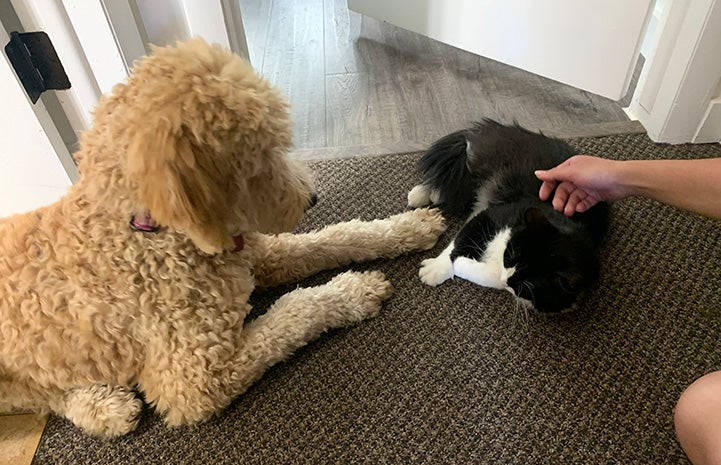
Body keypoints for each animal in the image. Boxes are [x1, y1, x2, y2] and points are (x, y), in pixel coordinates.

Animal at [0, 39, 444, 436]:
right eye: (260, 157)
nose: (312, 198)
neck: (155, 237)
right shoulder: (196, 380)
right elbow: (294, 310)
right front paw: (353, 291)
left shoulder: (258, 258)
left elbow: (337, 237)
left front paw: (407, 228)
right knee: (39, 396)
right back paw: (103, 408)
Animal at [410, 118, 608, 312]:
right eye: (512, 255)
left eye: (527, 285)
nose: (507, 279)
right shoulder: (489, 214)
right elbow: (456, 243)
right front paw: (436, 269)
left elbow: (489, 275)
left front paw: (461, 266)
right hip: (480, 166)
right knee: (454, 173)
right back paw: (419, 195)